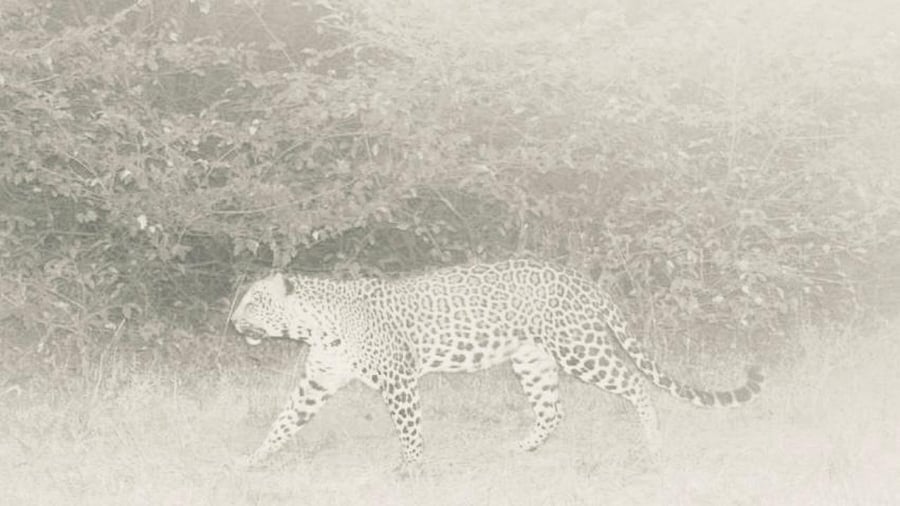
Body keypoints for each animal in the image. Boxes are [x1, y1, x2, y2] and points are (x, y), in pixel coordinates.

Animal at [230, 259, 763, 474]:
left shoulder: (399, 379)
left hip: (579, 348)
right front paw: (251, 461)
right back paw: (519, 449)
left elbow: (409, 428)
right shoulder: (317, 382)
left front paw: (410, 469)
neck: (315, 324)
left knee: (635, 384)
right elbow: (283, 422)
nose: (233, 323)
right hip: (532, 359)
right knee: (552, 410)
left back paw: (652, 445)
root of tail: (578, 277)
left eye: (254, 302)